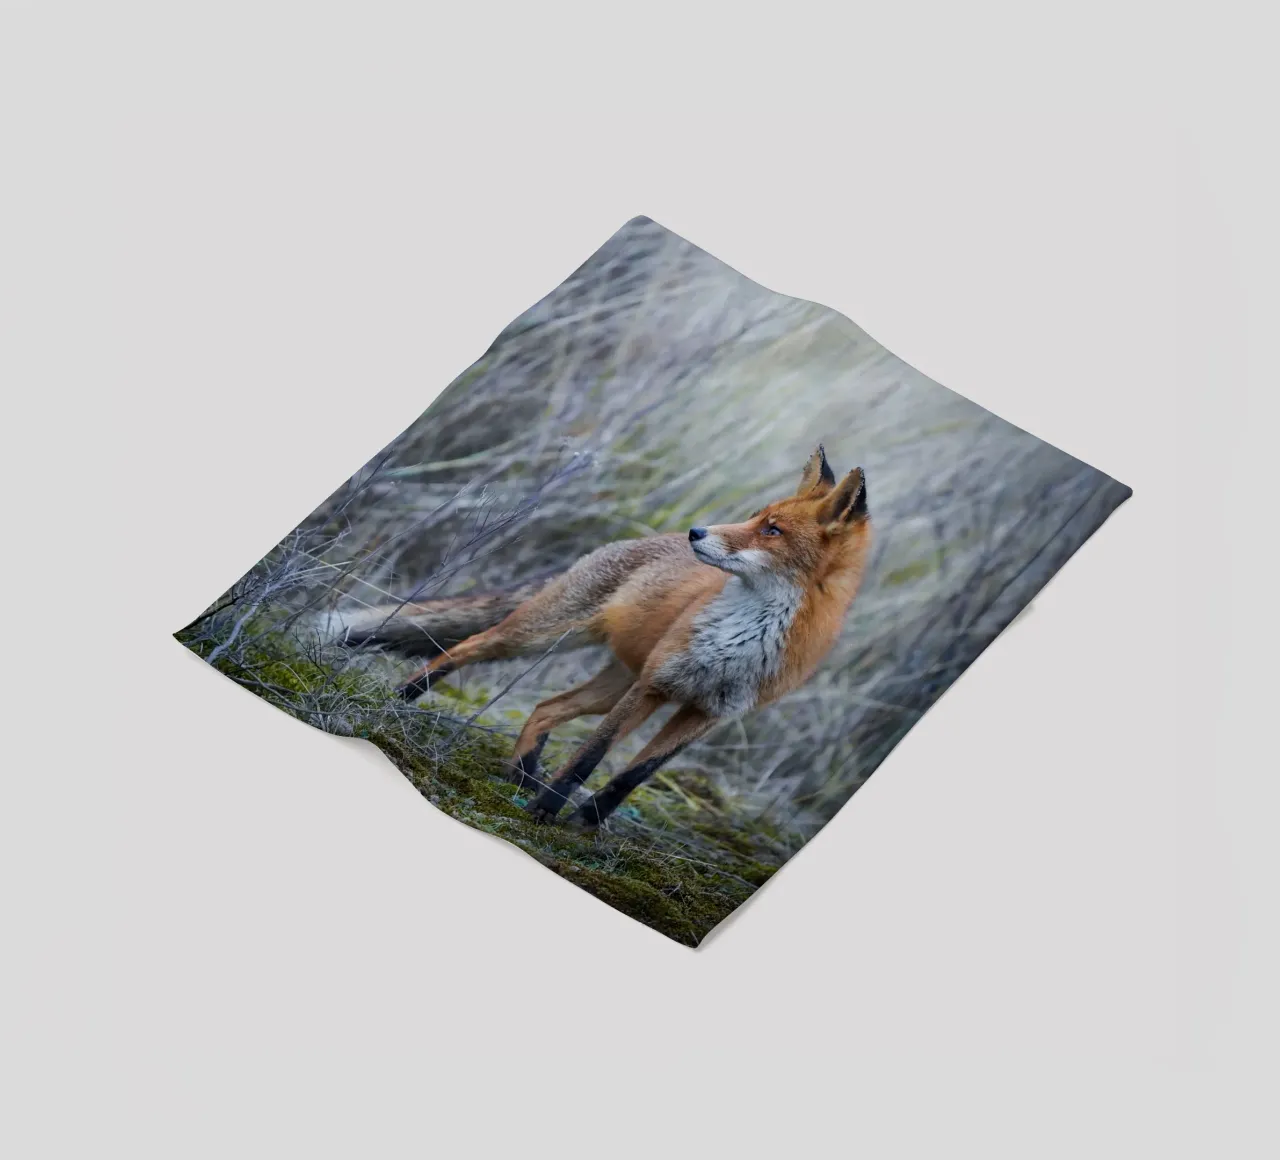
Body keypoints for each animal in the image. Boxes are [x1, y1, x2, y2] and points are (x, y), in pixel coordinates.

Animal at [344, 446, 871, 827]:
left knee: (546, 708)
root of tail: (636, 542)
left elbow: (632, 776)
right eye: (756, 517)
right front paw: (545, 814)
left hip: (613, 684)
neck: (741, 640)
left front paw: (586, 822)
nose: (695, 532)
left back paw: (523, 776)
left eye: (773, 530)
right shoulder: (655, 684)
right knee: (463, 648)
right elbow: (589, 756)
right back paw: (401, 699)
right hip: (544, 637)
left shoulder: (707, 712)